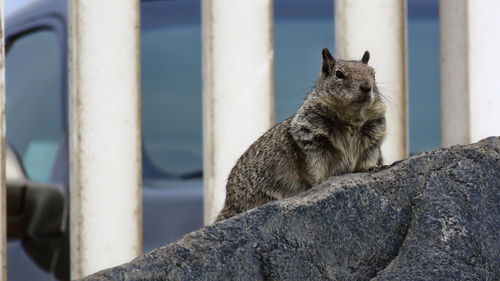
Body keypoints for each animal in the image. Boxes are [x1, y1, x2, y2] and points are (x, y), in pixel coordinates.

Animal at [216, 48, 386, 221]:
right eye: (339, 74)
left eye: (373, 74)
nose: (366, 87)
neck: (351, 119)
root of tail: (228, 204)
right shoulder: (311, 142)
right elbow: (314, 167)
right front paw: (323, 180)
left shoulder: (373, 142)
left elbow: (367, 159)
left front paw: (373, 167)